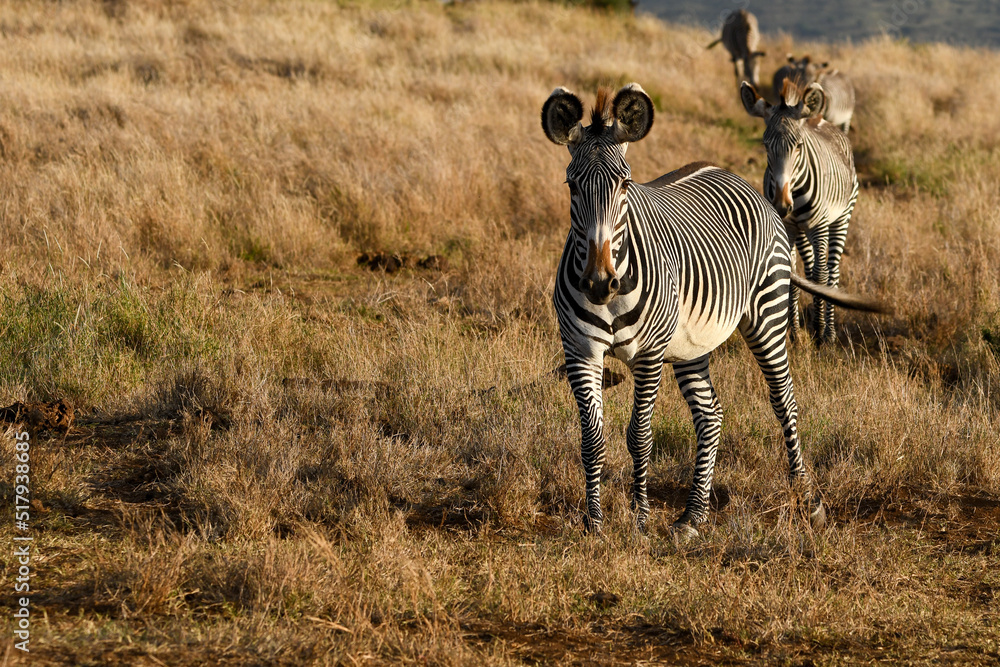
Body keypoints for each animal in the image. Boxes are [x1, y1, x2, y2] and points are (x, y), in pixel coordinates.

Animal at [741, 79, 860, 344]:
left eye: (799, 146)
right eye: (765, 145)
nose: (782, 205)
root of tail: (822, 120)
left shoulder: (820, 226)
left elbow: (820, 276)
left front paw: (819, 332)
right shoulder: (787, 226)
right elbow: (792, 277)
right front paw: (794, 333)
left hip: (841, 218)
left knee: (831, 271)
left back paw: (829, 332)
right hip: (802, 230)